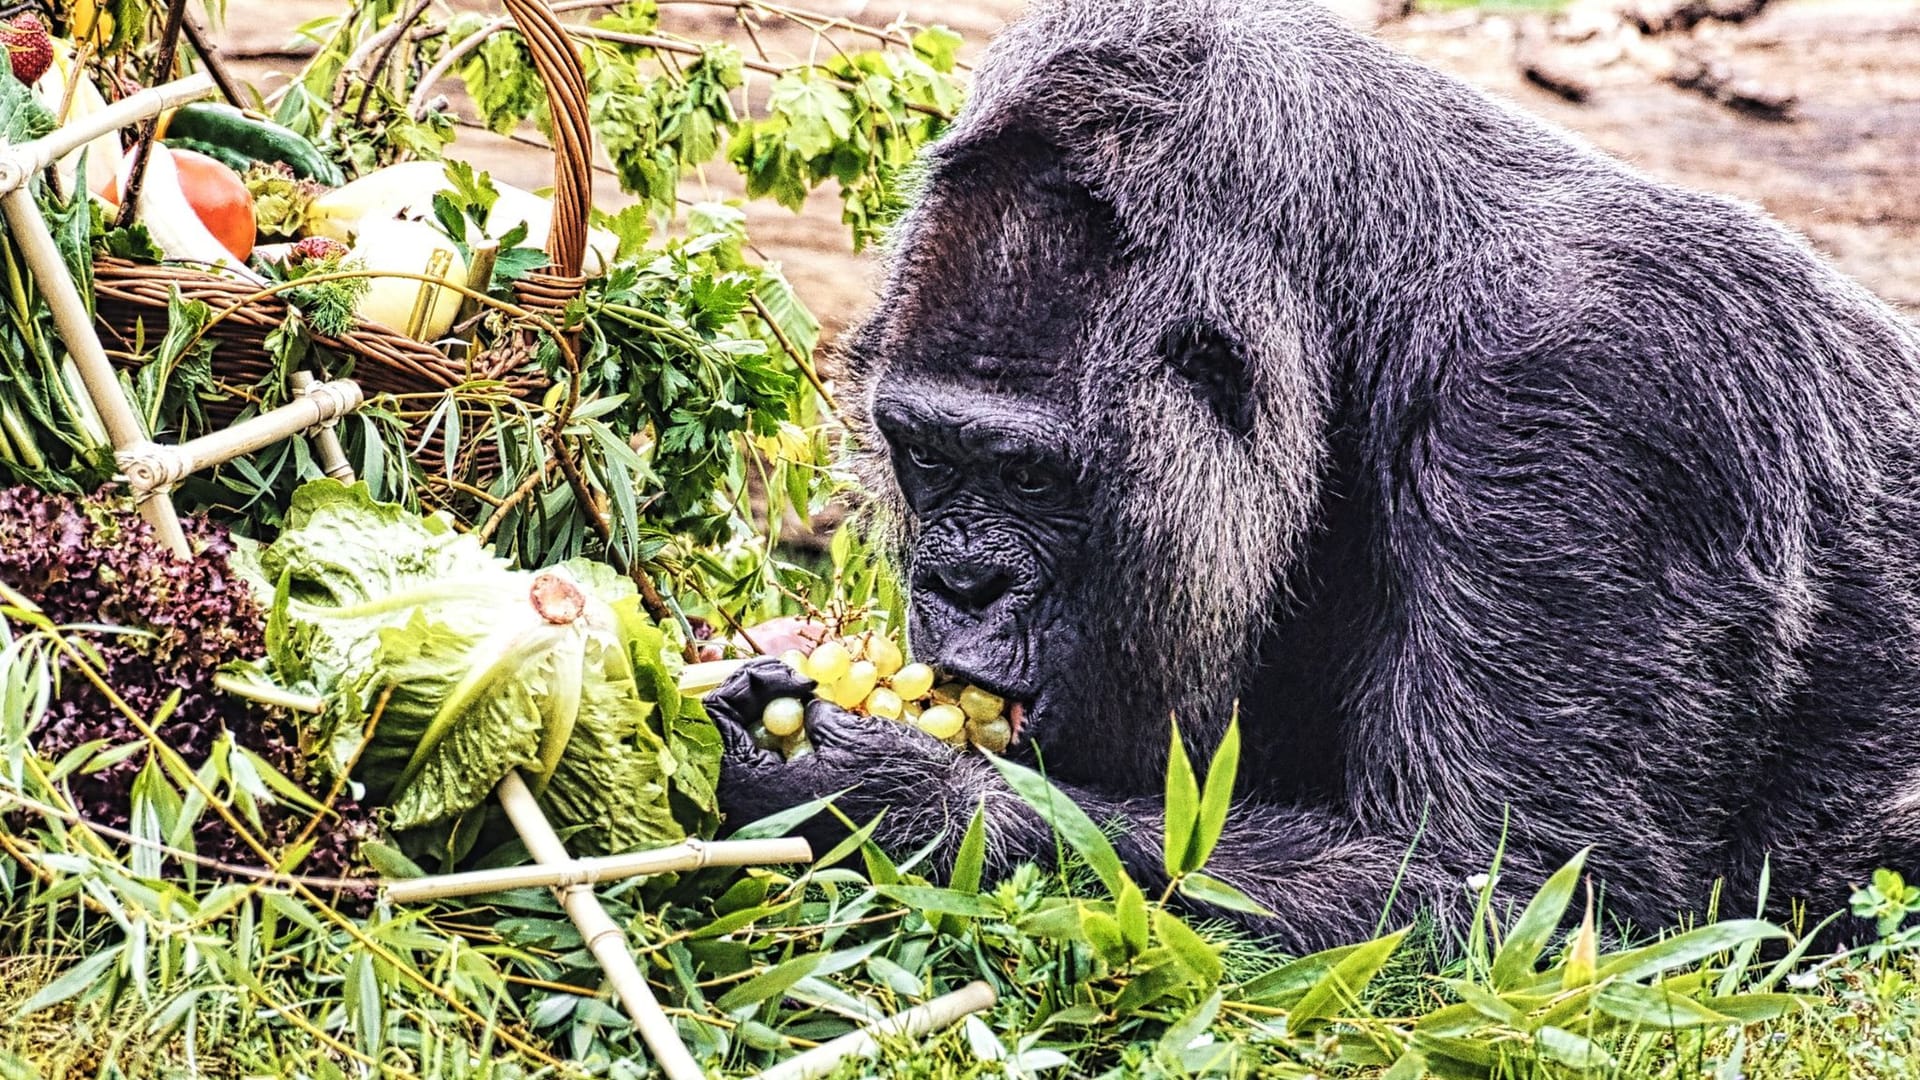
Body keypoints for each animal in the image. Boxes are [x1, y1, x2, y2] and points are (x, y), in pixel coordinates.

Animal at [714, 0, 1920, 945]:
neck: (1374, 298)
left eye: (1028, 480)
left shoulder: (1593, 399)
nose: (961, 585)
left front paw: (881, 791)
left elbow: (1528, 906)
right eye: (930, 455)